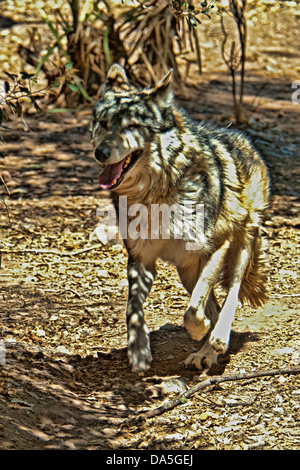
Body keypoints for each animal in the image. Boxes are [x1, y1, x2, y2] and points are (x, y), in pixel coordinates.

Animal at [89, 64, 270, 374]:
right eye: (102, 123)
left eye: (130, 126)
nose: (100, 153)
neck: (155, 195)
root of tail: (245, 140)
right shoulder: (141, 259)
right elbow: (132, 309)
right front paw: (138, 351)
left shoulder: (216, 247)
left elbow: (193, 312)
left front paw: (199, 331)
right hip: (187, 270)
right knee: (214, 305)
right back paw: (207, 352)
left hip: (238, 251)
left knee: (231, 295)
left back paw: (216, 340)